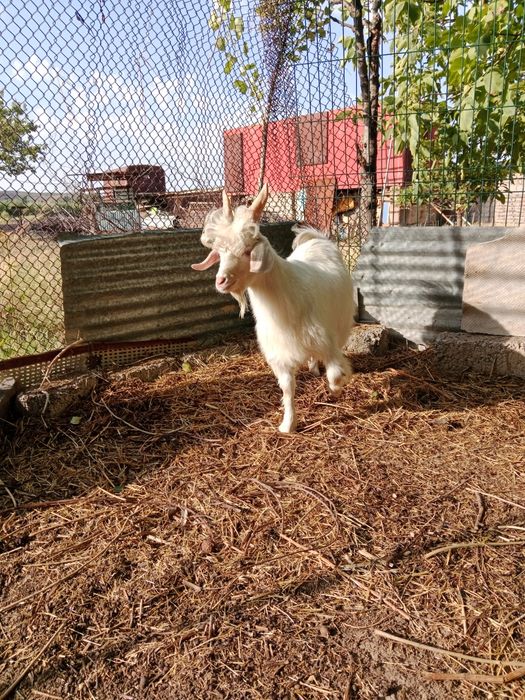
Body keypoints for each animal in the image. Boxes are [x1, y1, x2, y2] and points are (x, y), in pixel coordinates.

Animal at [191, 184, 354, 433]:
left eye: (248, 250)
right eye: (220, 252)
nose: (221, 281)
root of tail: (316, 239)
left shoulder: (326, 341)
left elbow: (335, 373)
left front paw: (338, 386)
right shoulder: (279, 353)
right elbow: (287, 389)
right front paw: (288, 424)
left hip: (341, 322)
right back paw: (313, 368)